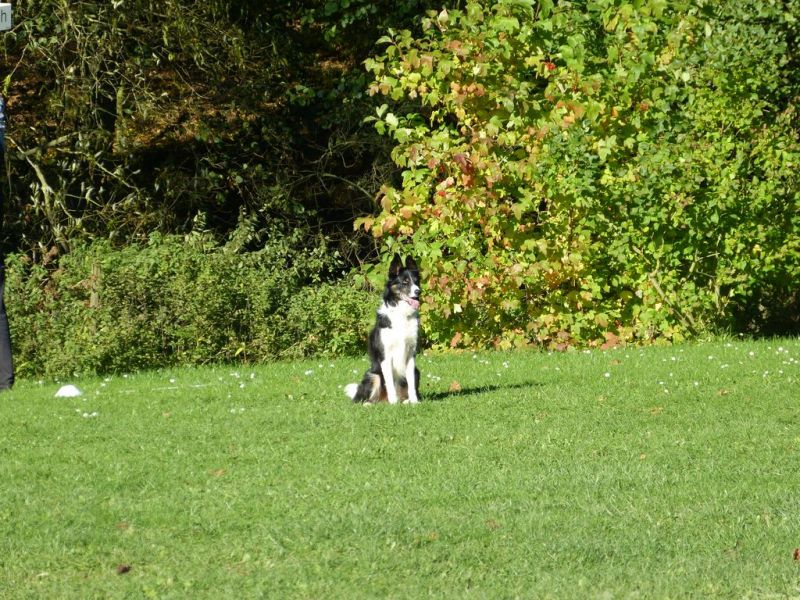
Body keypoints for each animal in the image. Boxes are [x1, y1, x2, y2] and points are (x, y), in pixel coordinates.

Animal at [345, 254, 422, 404]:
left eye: (416, 281)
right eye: (405, 282)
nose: (418, 291)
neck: (401, 314)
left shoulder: (411, 354)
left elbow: (410, 383)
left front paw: (414, 402)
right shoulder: (386, 356)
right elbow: (390, 383)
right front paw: (394, 403)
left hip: (417, 371)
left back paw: (405, 401)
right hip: (373, 375)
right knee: (363, 399)